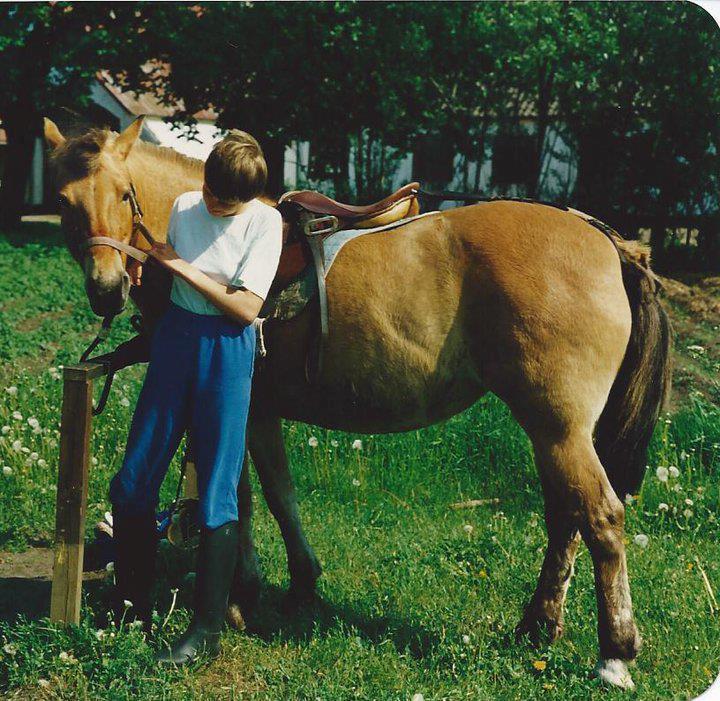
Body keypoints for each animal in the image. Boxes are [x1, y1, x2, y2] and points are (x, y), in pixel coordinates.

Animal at [45, 116, 672, 688]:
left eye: (123, 194)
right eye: (64, 202)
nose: (106, 288)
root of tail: (607, 240)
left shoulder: (236, 408)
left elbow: (243, 498)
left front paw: (241, 598)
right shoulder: (260, 410)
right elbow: (279, 493)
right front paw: (300, 581)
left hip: (559, 428)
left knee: (601, 517)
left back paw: (614, 653)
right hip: (555, 432)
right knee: (566, 518)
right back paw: (537, 627)